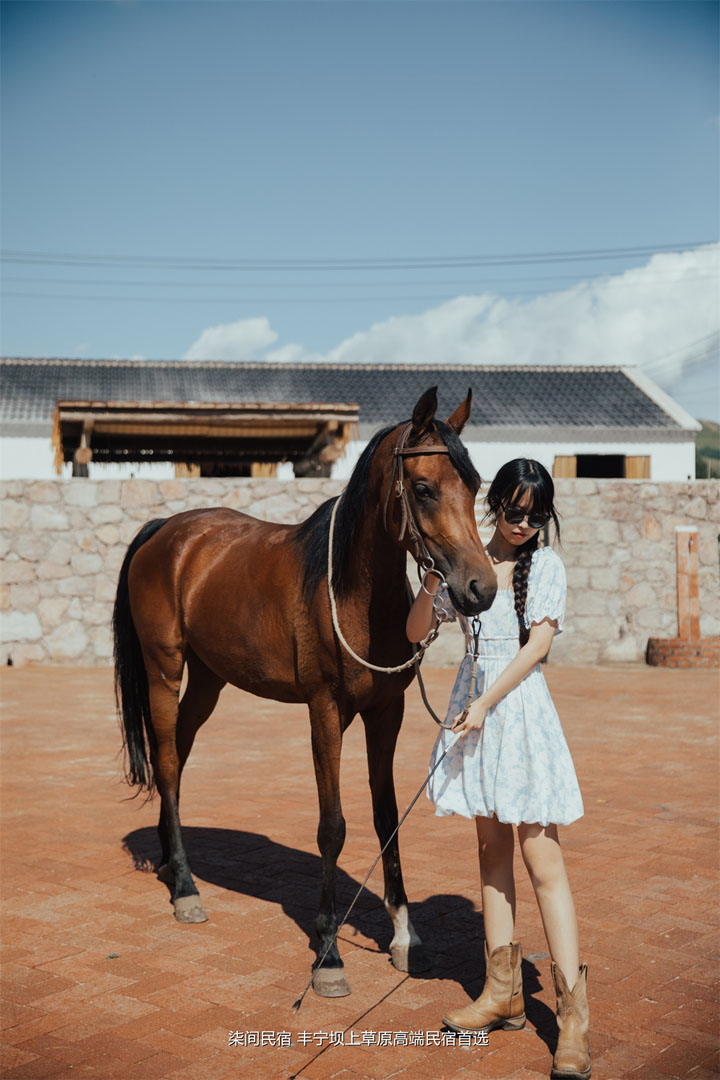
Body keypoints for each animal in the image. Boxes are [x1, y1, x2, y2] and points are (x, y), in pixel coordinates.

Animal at [113, 386, 496, 993]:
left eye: (476, 483)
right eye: (423, 488)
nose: (481, 589)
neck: (350, 587)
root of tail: (167, 530)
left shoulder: (386, 712)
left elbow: (386, 818)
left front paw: (406, 939)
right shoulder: (325, 712)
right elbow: (332, 826)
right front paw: (329, 953)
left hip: (208, 679)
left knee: (178, 753)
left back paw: (174, 865)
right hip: (163, 671)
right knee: (168, 764)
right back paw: (187, 891)